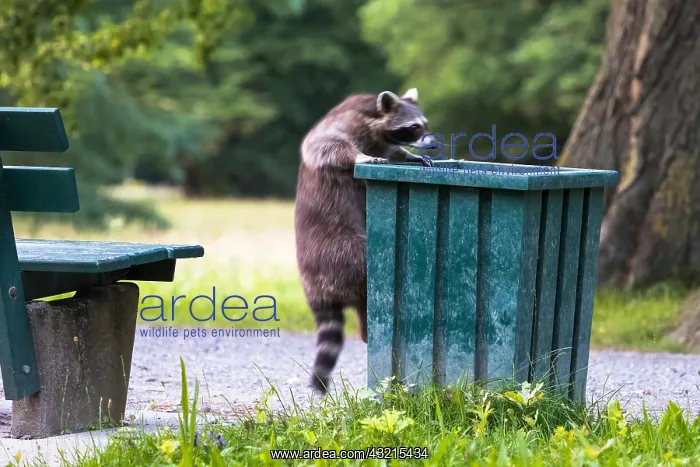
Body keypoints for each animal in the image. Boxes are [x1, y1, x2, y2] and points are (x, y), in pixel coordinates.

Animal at [294, 88, 434, 394]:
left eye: (425, 124)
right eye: (414, 127)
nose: (431, 143)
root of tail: (315, 289)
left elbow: (394, 153)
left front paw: (408, 155)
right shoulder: (338, 126)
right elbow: (326, 146)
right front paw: (359, 156)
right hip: (341, 252)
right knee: (365, 272)